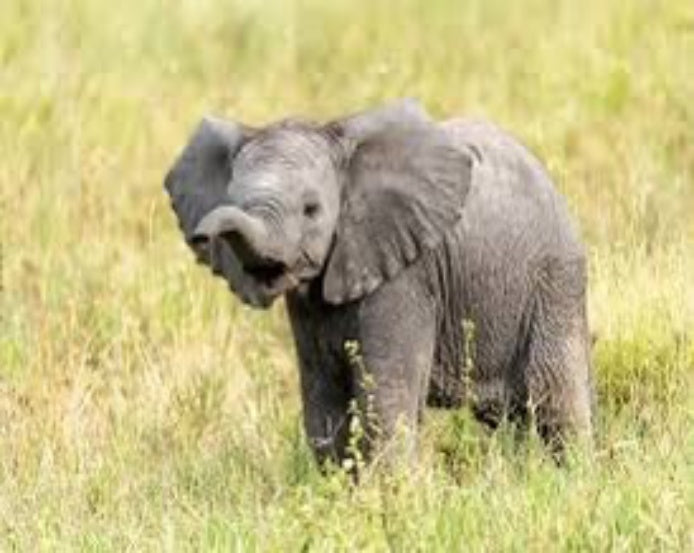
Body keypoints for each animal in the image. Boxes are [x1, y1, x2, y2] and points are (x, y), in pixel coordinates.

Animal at [164, 99, 594, 467]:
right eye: (232, 200)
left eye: (311, 210)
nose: (201, 237)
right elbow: (324, 404)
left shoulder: (407, 275)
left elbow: (384, 400)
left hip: (554, 282)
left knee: (556, 402)